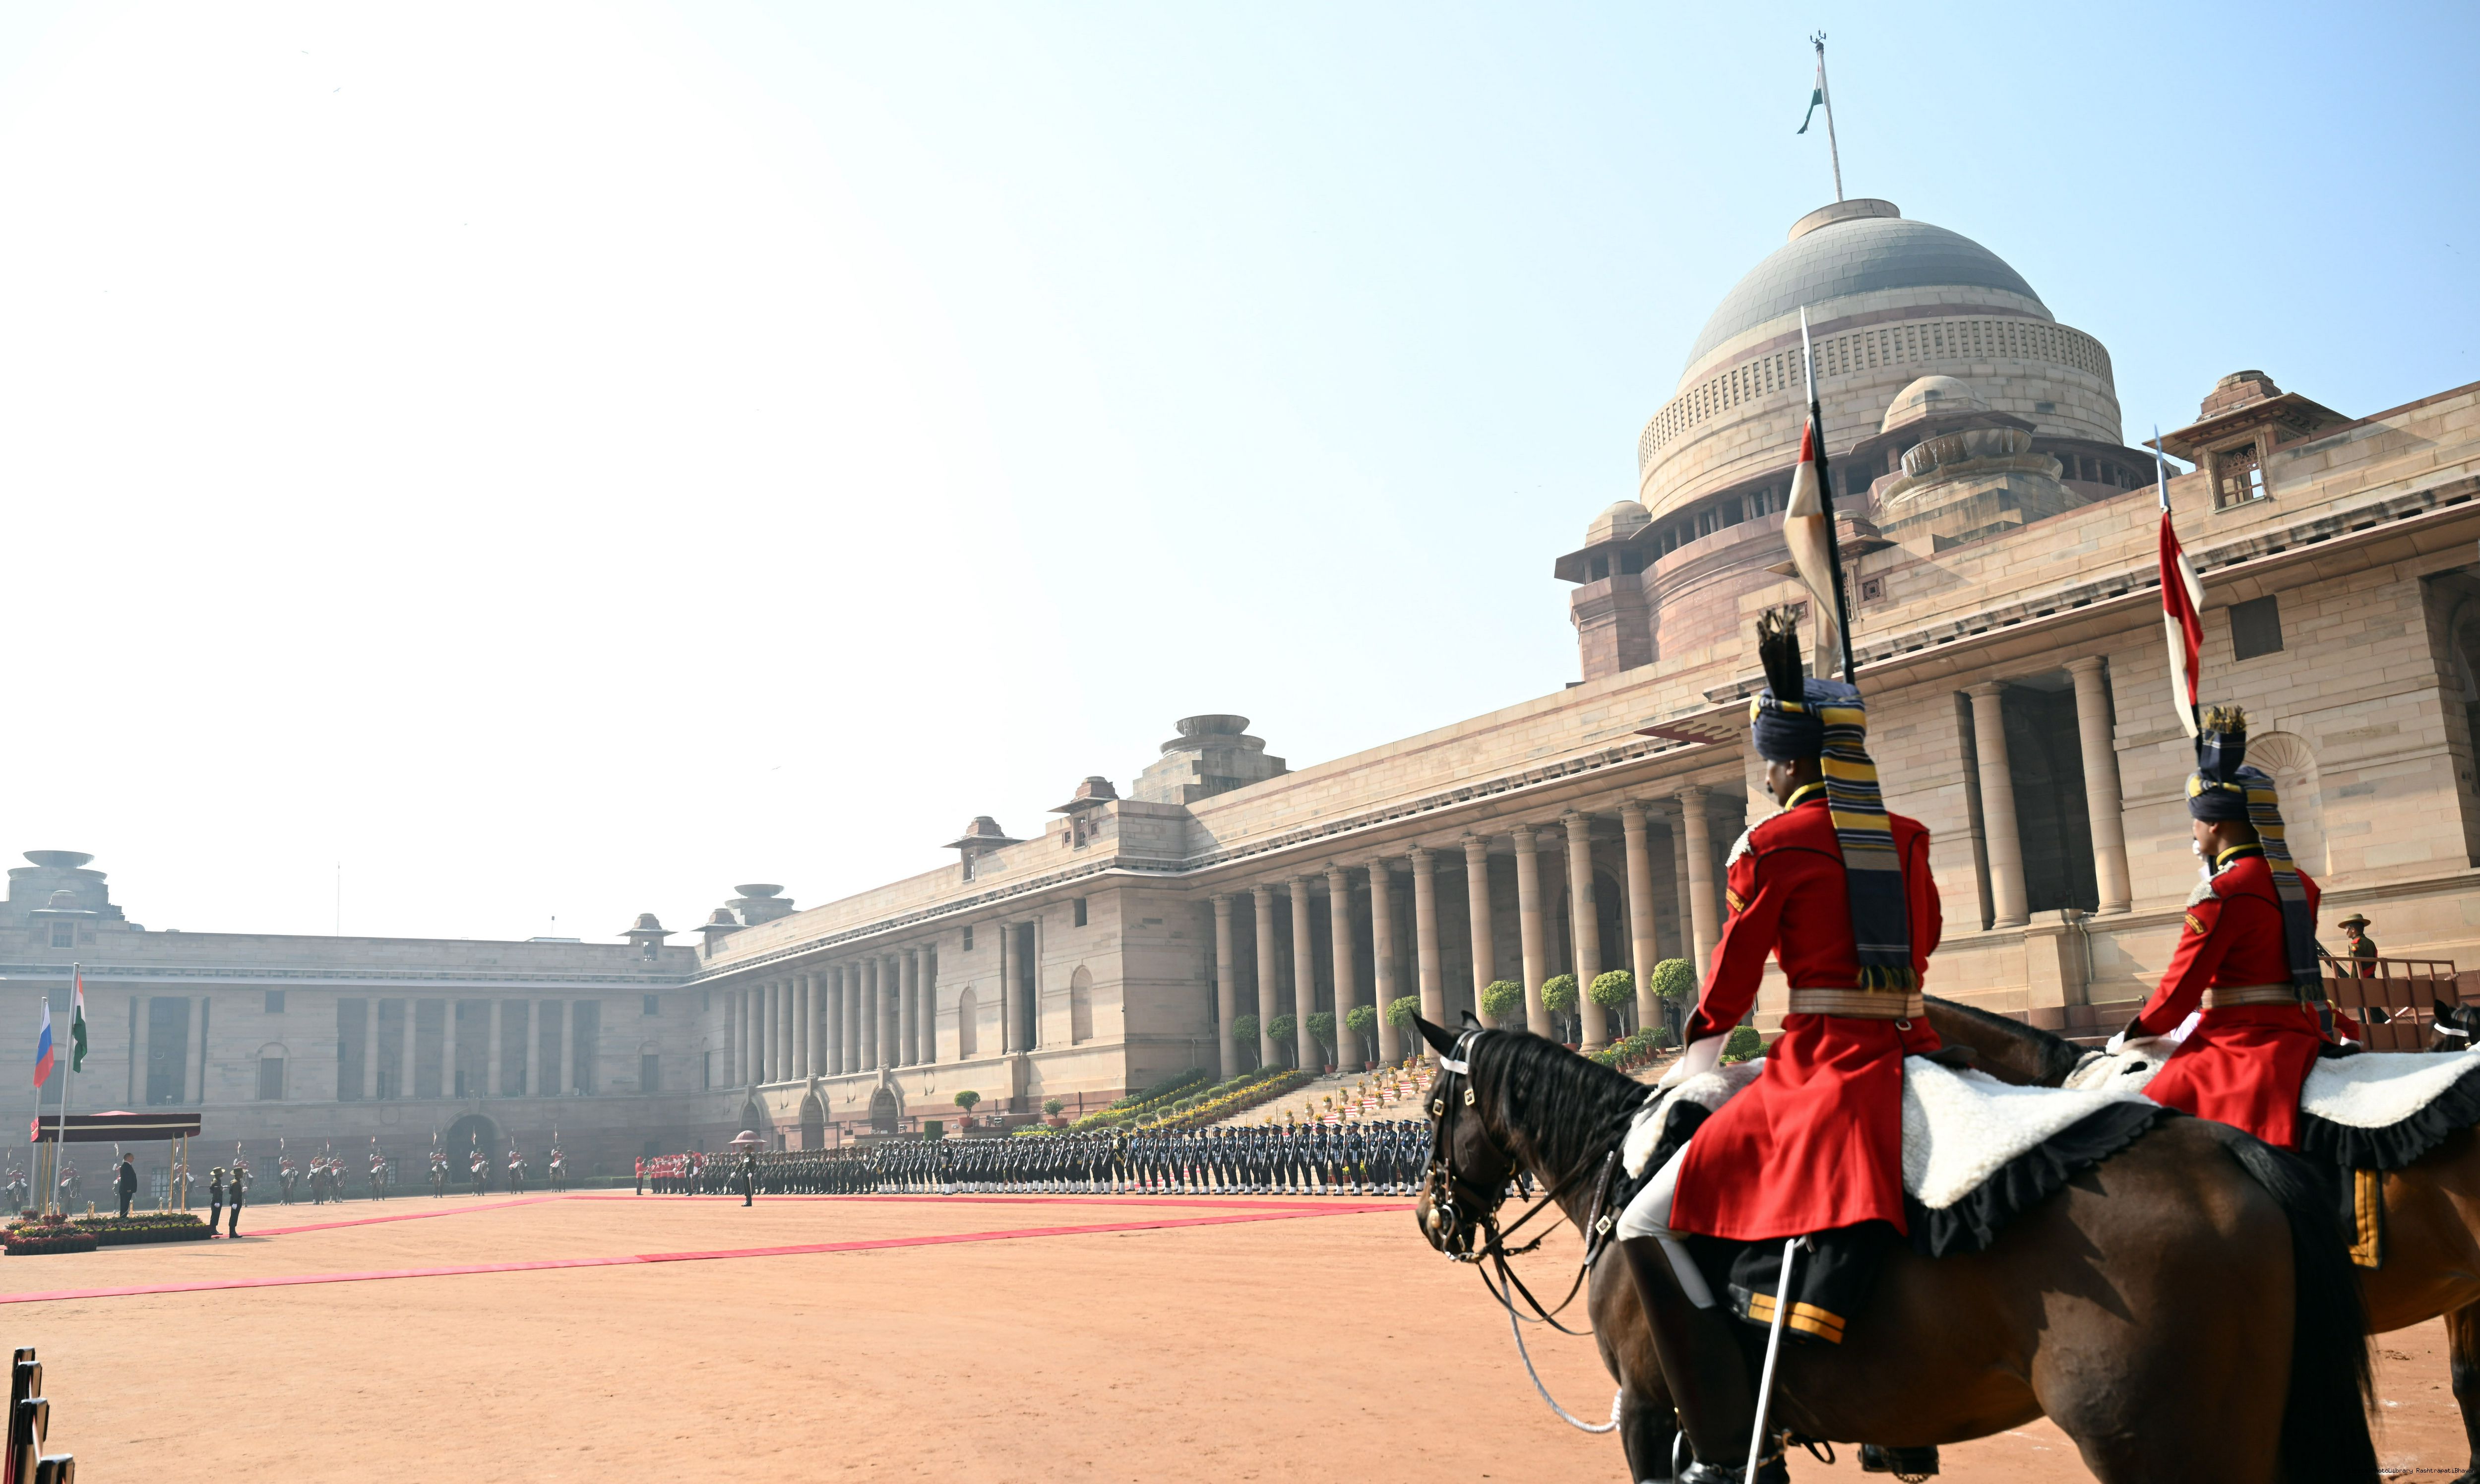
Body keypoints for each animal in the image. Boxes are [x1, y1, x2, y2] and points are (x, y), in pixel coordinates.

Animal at [1410, 1015, 2377, 1483]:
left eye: (1431, 1107)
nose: (1432, 1219)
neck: (1622, 1160)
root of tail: (2231, 1149)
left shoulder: (1657, 1408)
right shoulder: (1748, 1426)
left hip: (2154, 1435)